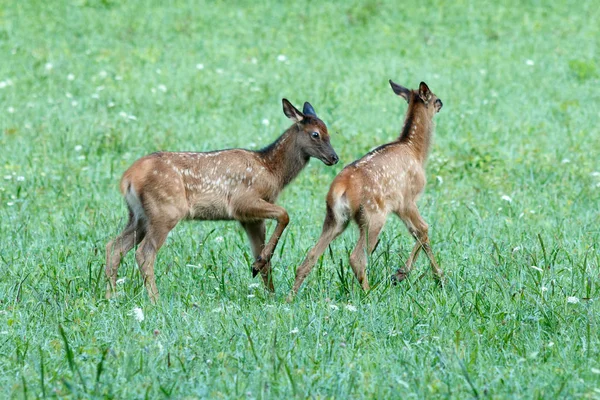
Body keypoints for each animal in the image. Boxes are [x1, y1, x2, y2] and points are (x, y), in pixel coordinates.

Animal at [106, 98, 338, 302]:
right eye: (316, 134)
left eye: (329, 132)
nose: (334, 157)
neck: (271, 171)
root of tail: (128, 178)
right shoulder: (242, 202)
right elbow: (284, 214)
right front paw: (260, 270)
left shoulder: (250, 219)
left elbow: (265, 257)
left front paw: (266, 284)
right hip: (165, 211)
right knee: (144, 253)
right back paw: (155, 300)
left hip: (139, 215)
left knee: (114, 246)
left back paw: (110, 296)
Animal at [288, 79, 442, 298]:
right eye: (436, 99)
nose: (441, 103)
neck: (416, 151)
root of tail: (341, 186)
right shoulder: (407, 199)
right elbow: (423, 229)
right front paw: (406, 274)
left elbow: (418, 231)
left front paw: (433, 276)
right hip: (372, 215)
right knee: (357, 258)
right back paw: (370, 294)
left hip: (335, 218)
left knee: (309, 257)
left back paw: (289, 298)